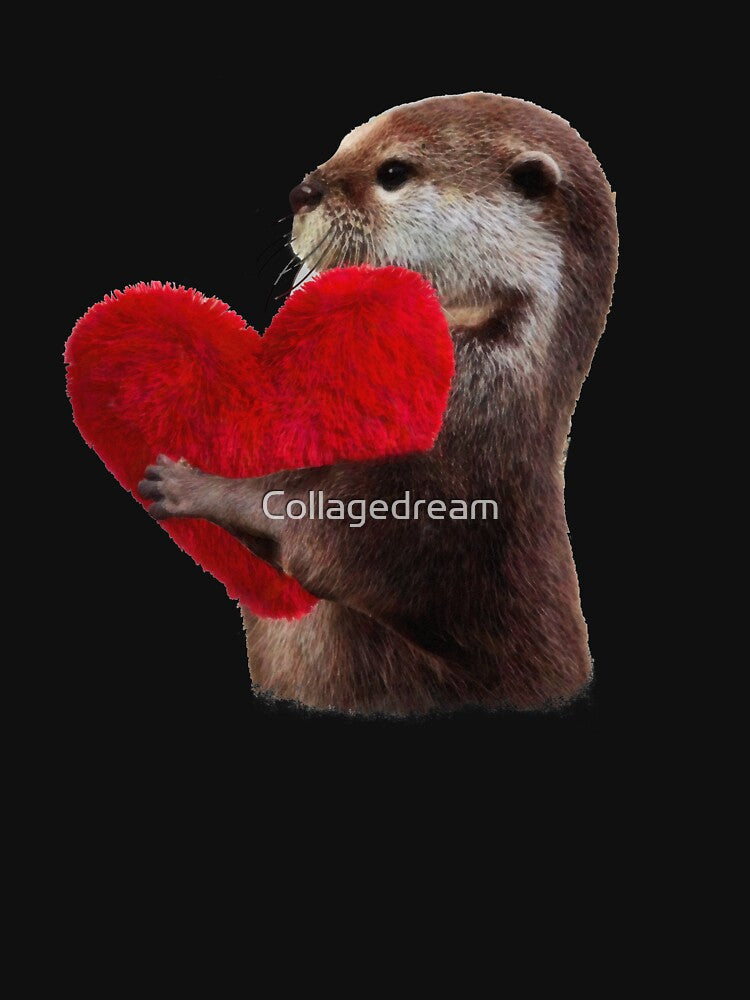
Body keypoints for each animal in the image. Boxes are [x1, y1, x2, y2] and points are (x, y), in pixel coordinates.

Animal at [138, 93, 618, 716]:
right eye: (346, 142)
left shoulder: (450, 461)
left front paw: (186, 483)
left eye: (392, 172)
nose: (301, 192)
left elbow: (325, 538)